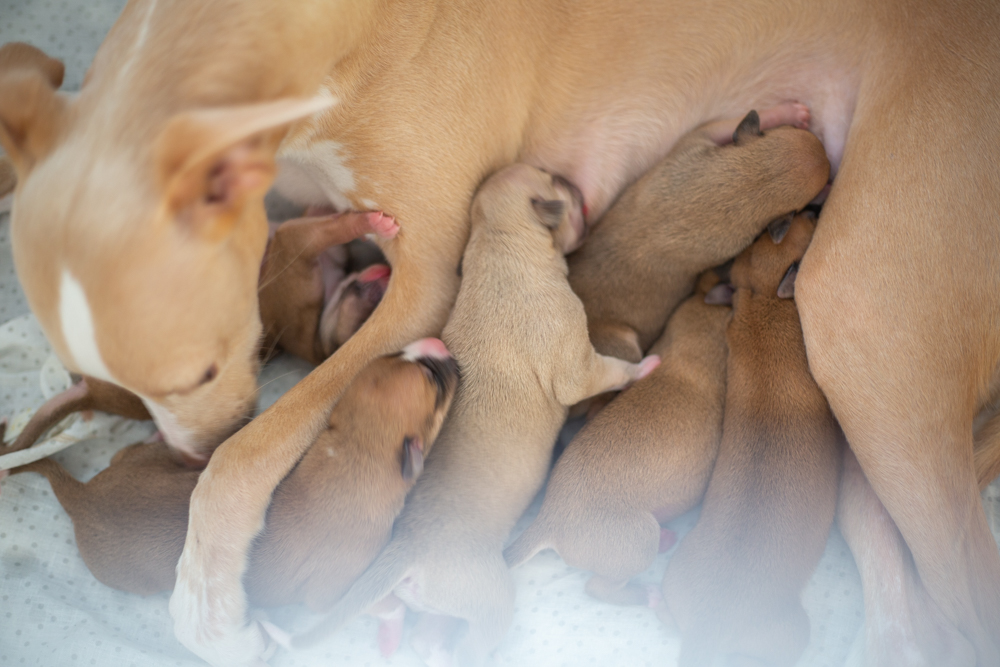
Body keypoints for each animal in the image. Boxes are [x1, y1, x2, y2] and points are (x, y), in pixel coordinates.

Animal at [292, 164, 660, 664]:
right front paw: (645, 367)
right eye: (552, 179)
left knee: (426, 632)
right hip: (490, 597)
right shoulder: (577, 366)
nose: (570, 178)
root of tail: (405, 553)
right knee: (471, 642)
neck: (498, 243)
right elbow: (610, 371)